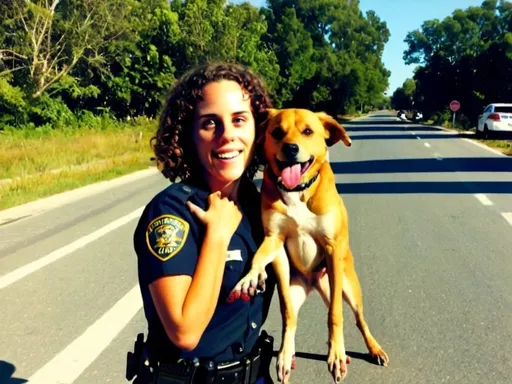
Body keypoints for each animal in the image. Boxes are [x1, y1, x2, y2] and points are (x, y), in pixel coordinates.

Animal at [232, 109, 388, 384]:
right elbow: (265, 268)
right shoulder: (275, 241)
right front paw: (251, 275)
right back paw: (286, 354)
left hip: (347, 286)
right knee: (291, 318)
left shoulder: (332, 247)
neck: (297, 191)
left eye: (307, 131)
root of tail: (314, 282)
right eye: (277, 132)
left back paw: (373, 348)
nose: (291, 148)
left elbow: (335, 314)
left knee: (359, 319)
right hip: (296, 289)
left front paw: (336, 354)